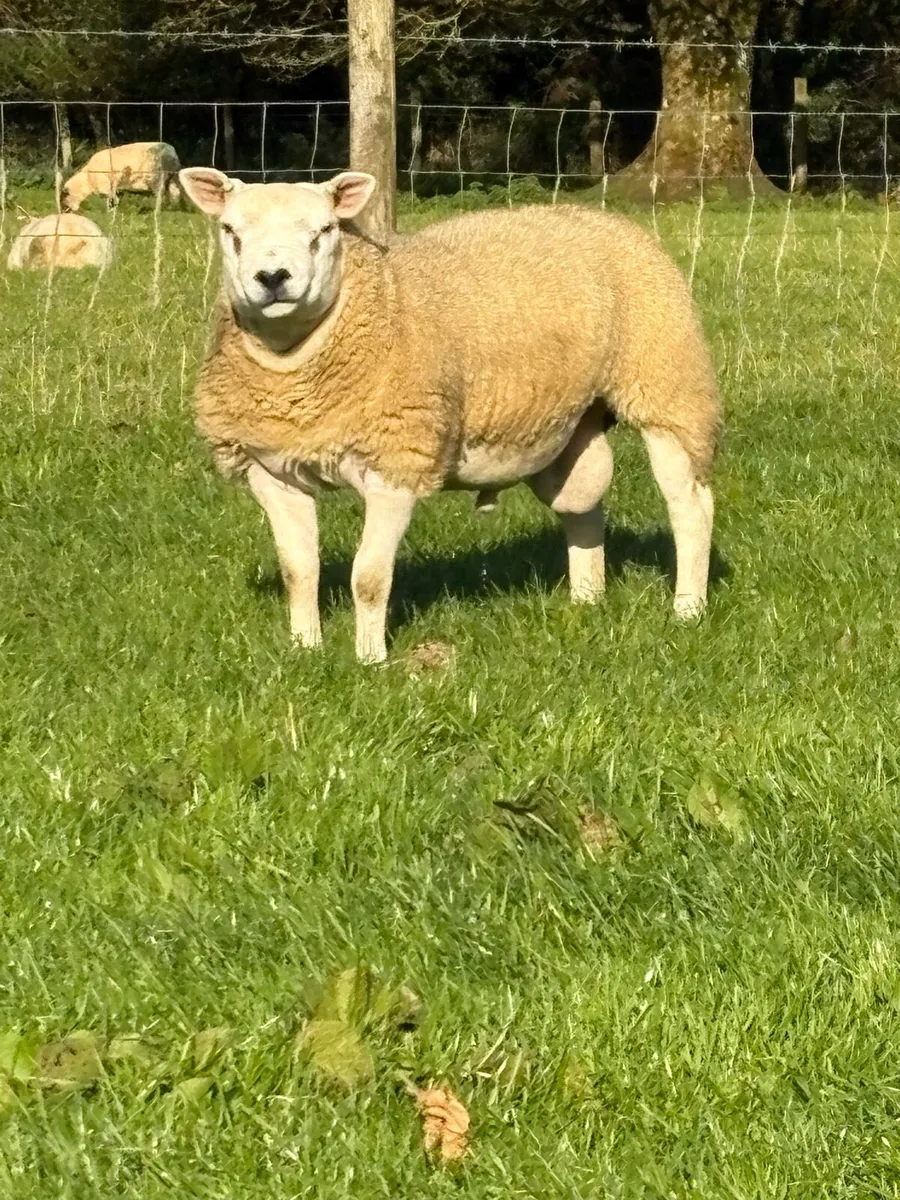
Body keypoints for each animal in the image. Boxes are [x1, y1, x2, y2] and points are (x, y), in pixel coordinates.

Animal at [179, 166, 722, 663]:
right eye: (230, 230)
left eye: (325, 230)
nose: (272, 279)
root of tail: (602, 218)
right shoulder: (270, 470)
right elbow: (299, 570)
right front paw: (304, 649)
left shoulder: (398, 460)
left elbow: (369, 577)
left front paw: (370, 660)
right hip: (568, 424)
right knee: (583, 505)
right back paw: (586, 601)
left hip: (667, 384)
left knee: (690, 506)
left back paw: (688, 609)